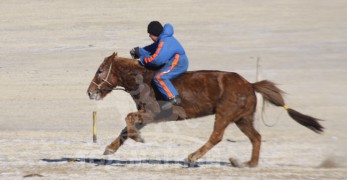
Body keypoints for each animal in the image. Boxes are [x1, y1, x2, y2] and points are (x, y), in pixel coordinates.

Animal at [86, 52, 324, 167]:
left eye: (100, 71)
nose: (90, 92)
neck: (142, 79)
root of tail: (250, 84)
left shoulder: (152, 114)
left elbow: (128, 120)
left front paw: (138, 138)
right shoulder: (146, 116)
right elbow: (125, 129)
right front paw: (110, 149)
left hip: (225, 114)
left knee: (217, 136)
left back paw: (192, 157)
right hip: (242, 118)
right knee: (256, 137)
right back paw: (249, 164)